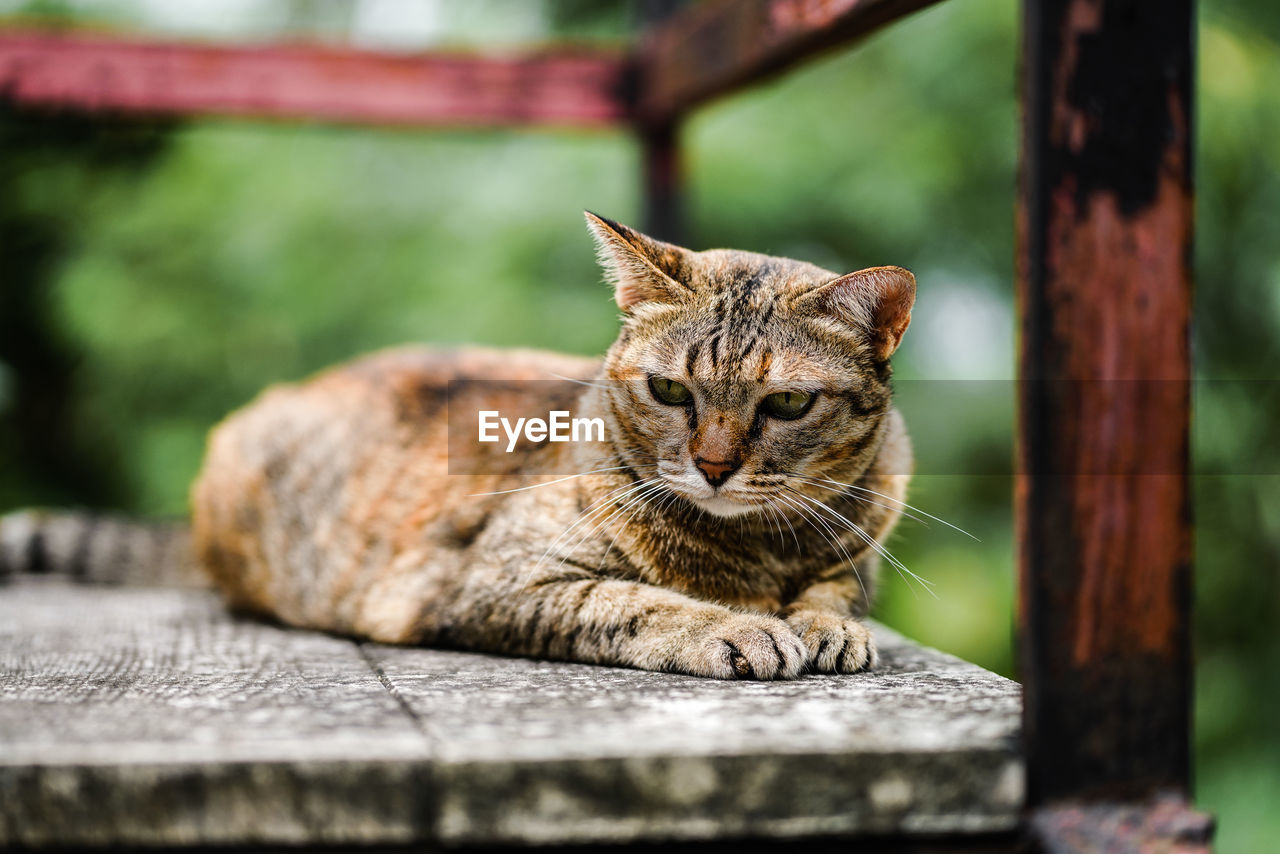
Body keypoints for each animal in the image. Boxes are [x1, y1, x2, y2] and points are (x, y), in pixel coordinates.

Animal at [2, 215, 921, 681]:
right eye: (669, 392)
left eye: (788, 403)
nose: (715, 466)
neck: (755, 553)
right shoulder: (494, 581)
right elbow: (637, 600)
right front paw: (740, 628)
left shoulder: (859, 544)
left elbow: (839, 591)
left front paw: (827, 624)